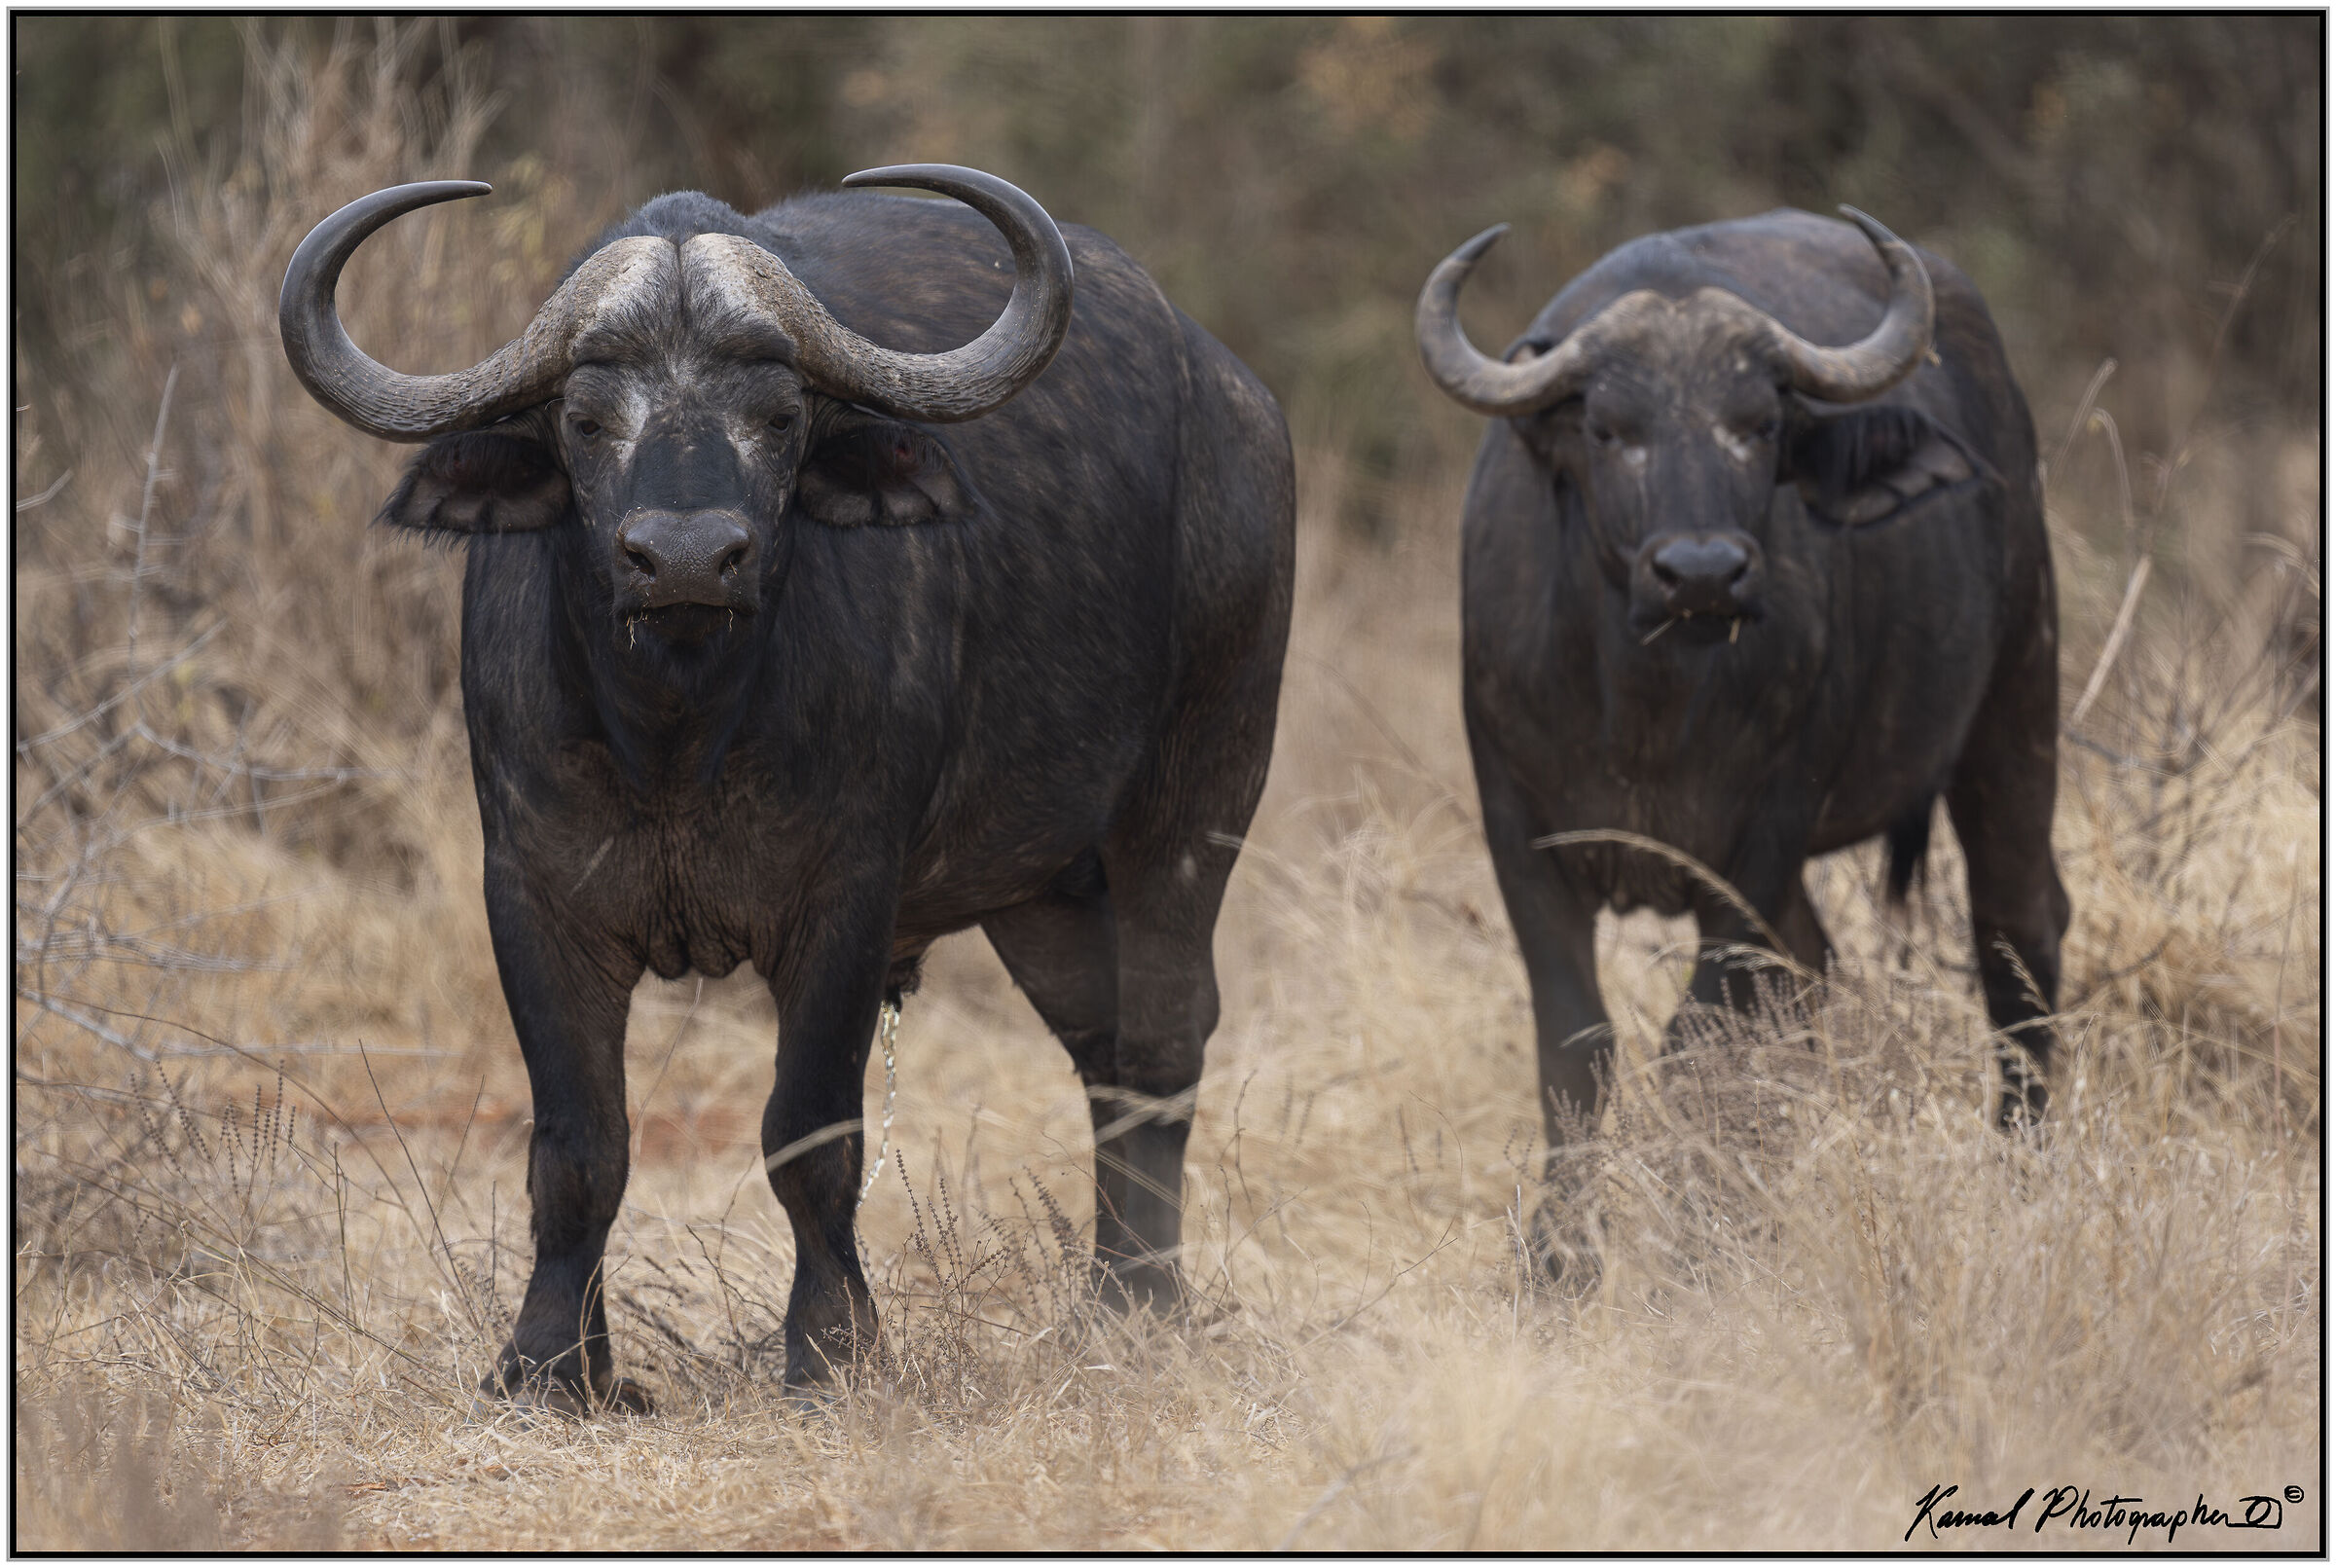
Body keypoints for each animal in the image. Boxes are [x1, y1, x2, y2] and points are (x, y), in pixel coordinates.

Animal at [281, 166, 1293, 1409]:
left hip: (1195, 802)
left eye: (777, 417)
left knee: (1162, 1043)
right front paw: (551, 1366)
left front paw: (829, 1345)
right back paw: (1109, 1292)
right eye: (585, 419)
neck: (677, 735)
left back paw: (1144, 1305)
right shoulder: (530, 895)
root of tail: (1237, 403)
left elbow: (810, 1135)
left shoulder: (845, 902)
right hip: (1042, 890)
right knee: (1102, 1052)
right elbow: (579, 1146)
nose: (684, 557)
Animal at [1415, 208, 2067, 1279]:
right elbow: (1576, 1048)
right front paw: (1561, 1264)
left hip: (2018, 699)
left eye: (1758, 425)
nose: (1702, 572)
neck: (1646, 709)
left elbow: (1699, 1045)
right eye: (1608, 429)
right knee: (1811, 978)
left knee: (2018, 928)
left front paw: (1694, 1250)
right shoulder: (1523, 839)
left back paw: (2023, 1168)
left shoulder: (1757, 841)